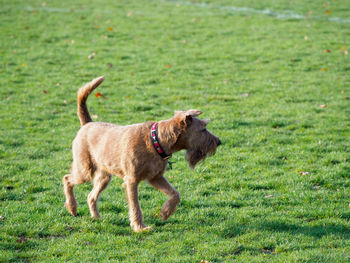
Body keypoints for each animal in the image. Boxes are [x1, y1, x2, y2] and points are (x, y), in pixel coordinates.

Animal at [63, 77, 221, 233]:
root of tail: (87, 124)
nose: (219, 142)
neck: (155, 140)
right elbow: (135, 206)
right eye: (203, 129)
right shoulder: (131, 180)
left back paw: (96, 217)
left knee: (91, 196)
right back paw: (72, 207)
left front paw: (166, 212)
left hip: (104, 177)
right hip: (85, 171)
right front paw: (140, 227)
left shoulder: (155, 177)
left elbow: (175, 194)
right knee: (67, 179)